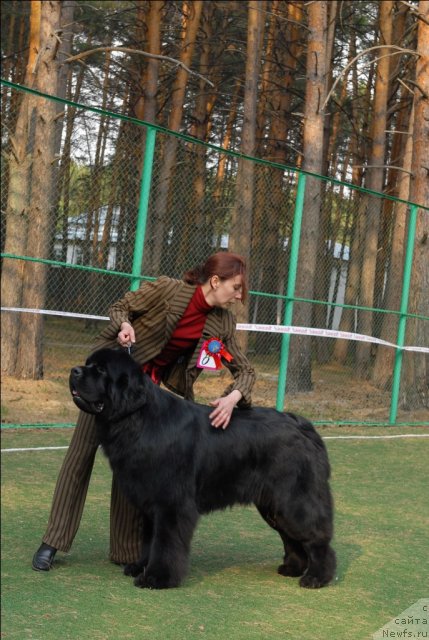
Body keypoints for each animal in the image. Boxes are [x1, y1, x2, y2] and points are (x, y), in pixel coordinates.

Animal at [69, 350, 334, 592]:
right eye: (89, 363)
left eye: (101, 370)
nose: (74, 371)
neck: (138, 419)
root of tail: (302, 425)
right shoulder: (149, 501)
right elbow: (149, 539)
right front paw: (140, 566)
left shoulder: (171, 504)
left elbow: (164, 542)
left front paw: (157, 578)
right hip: (273, 504)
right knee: (290, 537)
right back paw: (293, 568)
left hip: (293, 500)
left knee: (316, 536)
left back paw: (317, 577)